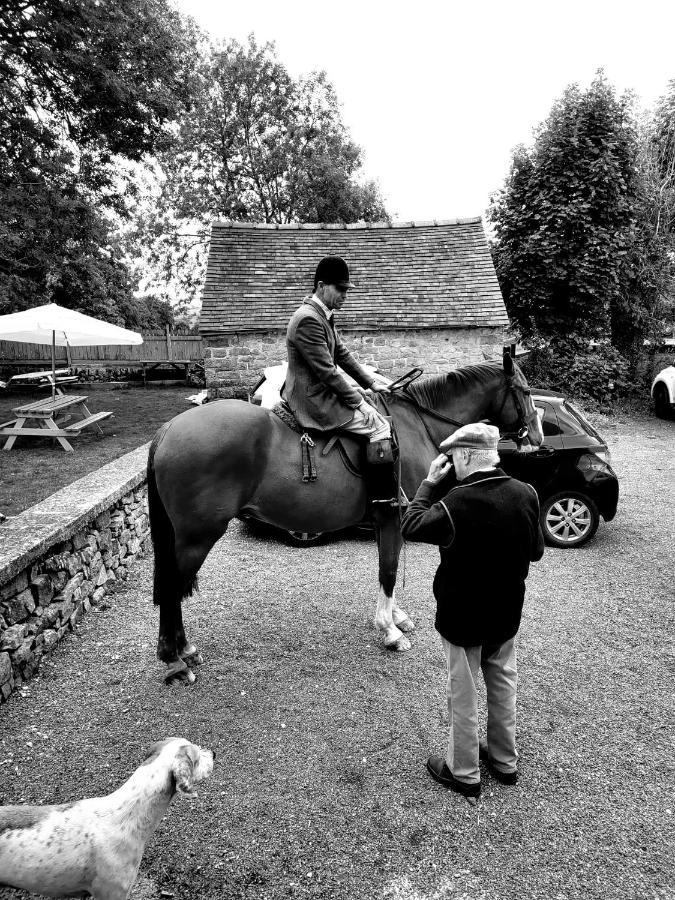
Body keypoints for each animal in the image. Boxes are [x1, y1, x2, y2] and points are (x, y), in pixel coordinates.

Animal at [148, 350, 544, 684]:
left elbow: (389, 567)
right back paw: (174, 660)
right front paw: (389, 631)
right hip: (198, 536)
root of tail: (169, 429)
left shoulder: (388, 522)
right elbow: (388, 571)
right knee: (171, 588)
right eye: (525, 391)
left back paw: (184, 651)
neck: (417, 424)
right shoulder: (392, 518)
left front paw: (396, 618)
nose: (539, 437)